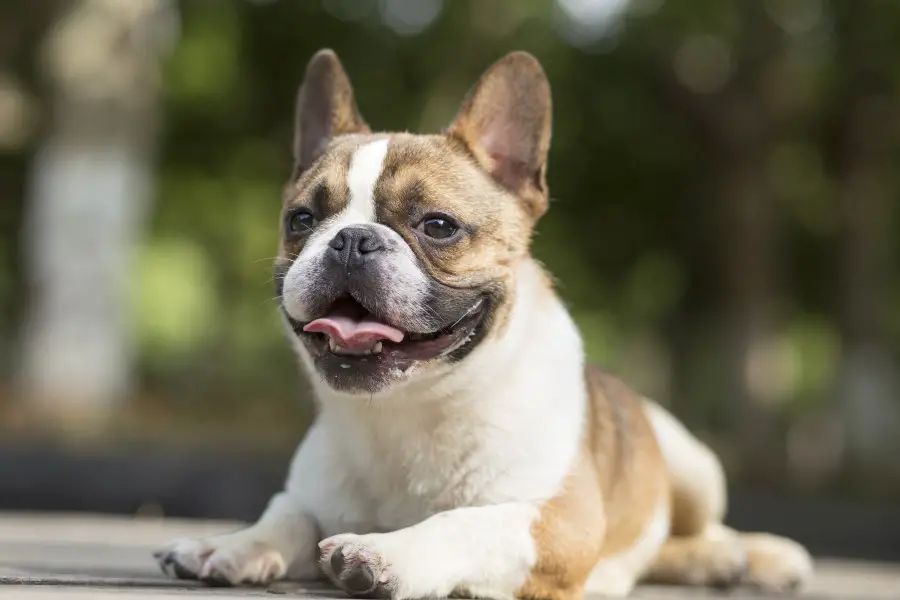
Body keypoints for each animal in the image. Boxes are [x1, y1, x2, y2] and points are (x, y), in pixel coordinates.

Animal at [155, 49, 816, 596]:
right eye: (300, 219)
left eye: (438, 225)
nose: (350, 240)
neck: (409, 410)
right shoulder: (307, 495)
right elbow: (284, 515)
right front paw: (229, 544)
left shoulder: (556, 522)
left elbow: (464, 523)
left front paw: (389, 553)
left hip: (694, 464)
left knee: (701, 529)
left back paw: (754, 557)